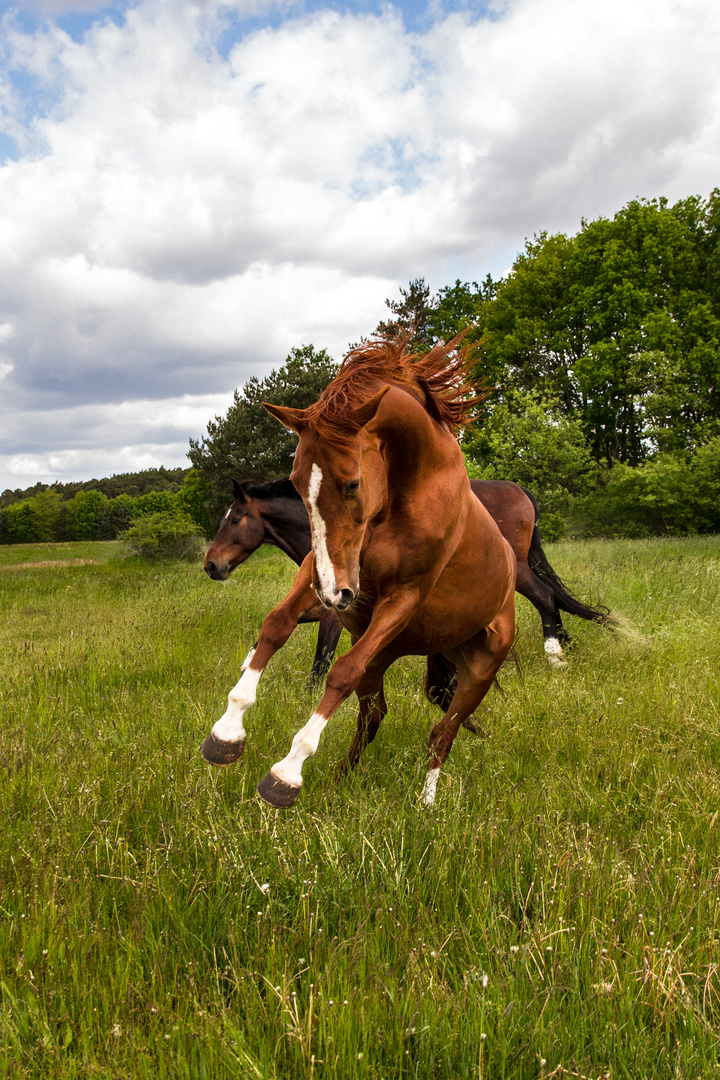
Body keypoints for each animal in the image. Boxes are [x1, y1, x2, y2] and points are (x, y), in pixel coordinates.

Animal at [199, 334, 520, 803]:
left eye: (351, 483)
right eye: (296, 483)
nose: (212, 565)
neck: (406, 497)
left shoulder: (401, 597)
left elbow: (338, 672)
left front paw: (286, 774)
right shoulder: (319, 571)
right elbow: (274, 628)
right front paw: (226, 733)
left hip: (477, 670)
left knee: (442, 734)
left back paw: (426, 804)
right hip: (382, 653)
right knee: (374, 717)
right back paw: (339, 783)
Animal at [205, 479, 613, 678]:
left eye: (235, 518)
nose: (211, 565)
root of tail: (520, 490)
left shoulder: (334, 616)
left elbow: (320, 664)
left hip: (517, 574)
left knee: (546, 597)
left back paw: (555, 656)